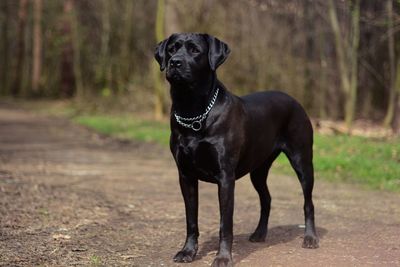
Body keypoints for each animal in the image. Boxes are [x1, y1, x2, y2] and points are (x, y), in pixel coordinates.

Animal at [154, 33, 318, 267]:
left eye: (195, 50)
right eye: (171, 49)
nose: (175, 62)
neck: (193, 110)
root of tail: (295, 101)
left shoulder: (225, 177)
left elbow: (226, 223)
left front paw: (223, 257)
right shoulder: (185, 176)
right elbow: (191, 219)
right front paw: (187, 251)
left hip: (302, 160)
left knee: (308, 202)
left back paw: (310, 238)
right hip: (258, 170)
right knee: (266, 198)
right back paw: (259, 234)